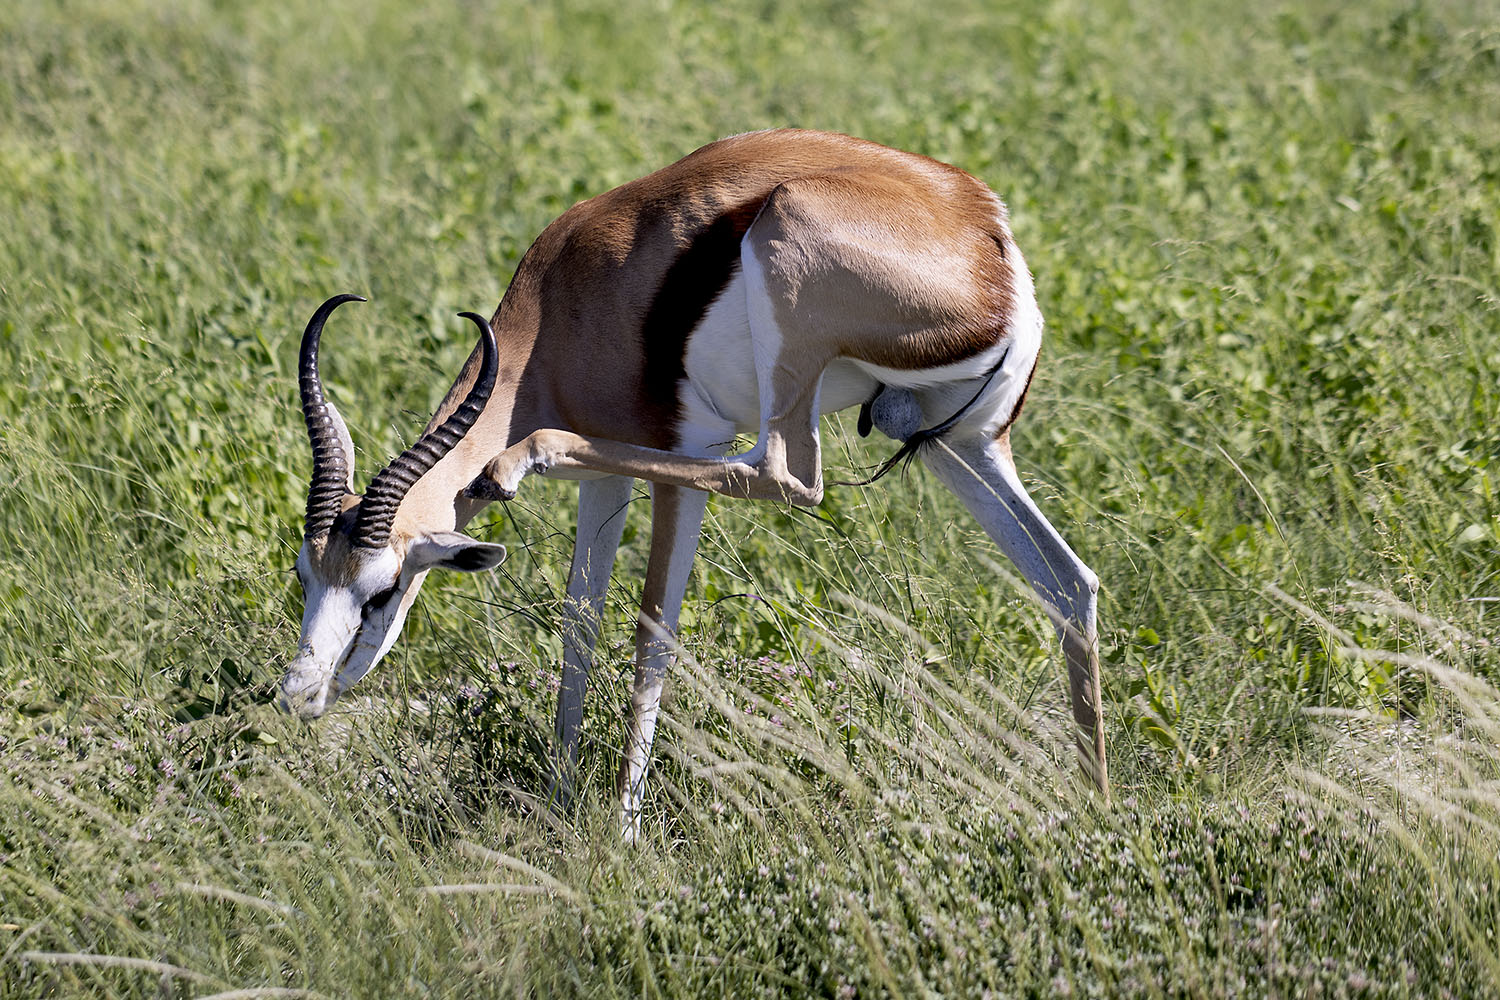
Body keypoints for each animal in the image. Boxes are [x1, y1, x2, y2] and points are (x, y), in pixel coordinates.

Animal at [279, 132, 1104, 839]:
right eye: (304, 575)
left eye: (381, 590)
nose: (297, 694)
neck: (562, 308)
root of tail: (992, 247)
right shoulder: (604, 484)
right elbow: (579, 624)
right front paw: (556, 805)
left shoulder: (681, 455)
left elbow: (652, 636)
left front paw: (622, 834)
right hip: (960, 447)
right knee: (1068, 582)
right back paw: (1096, 806)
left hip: (787, 326)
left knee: (789, 477)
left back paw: (519, 460)